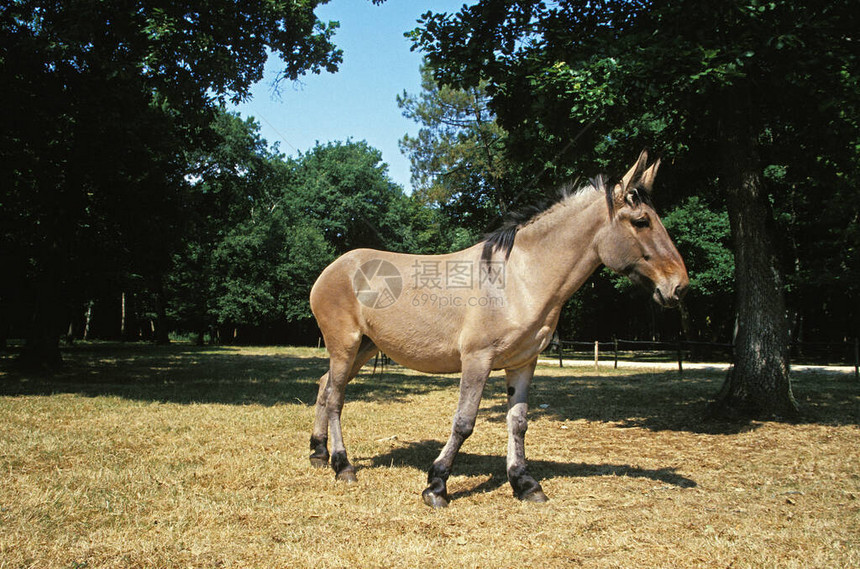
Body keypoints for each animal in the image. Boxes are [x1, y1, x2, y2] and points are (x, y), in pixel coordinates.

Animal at [306, 151, 688, 506]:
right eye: (641, 221)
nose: (679, 287)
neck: (518, 279)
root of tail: (333, 268)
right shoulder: (477, 359)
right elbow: (464, 422)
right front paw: (436, 485)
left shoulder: (522, 362)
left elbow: (518, 421)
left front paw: (525, 483)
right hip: (345, 346)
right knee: (336, 397)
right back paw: (343, 466)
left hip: (364, 347)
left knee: (326, 387)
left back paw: (319, 452)